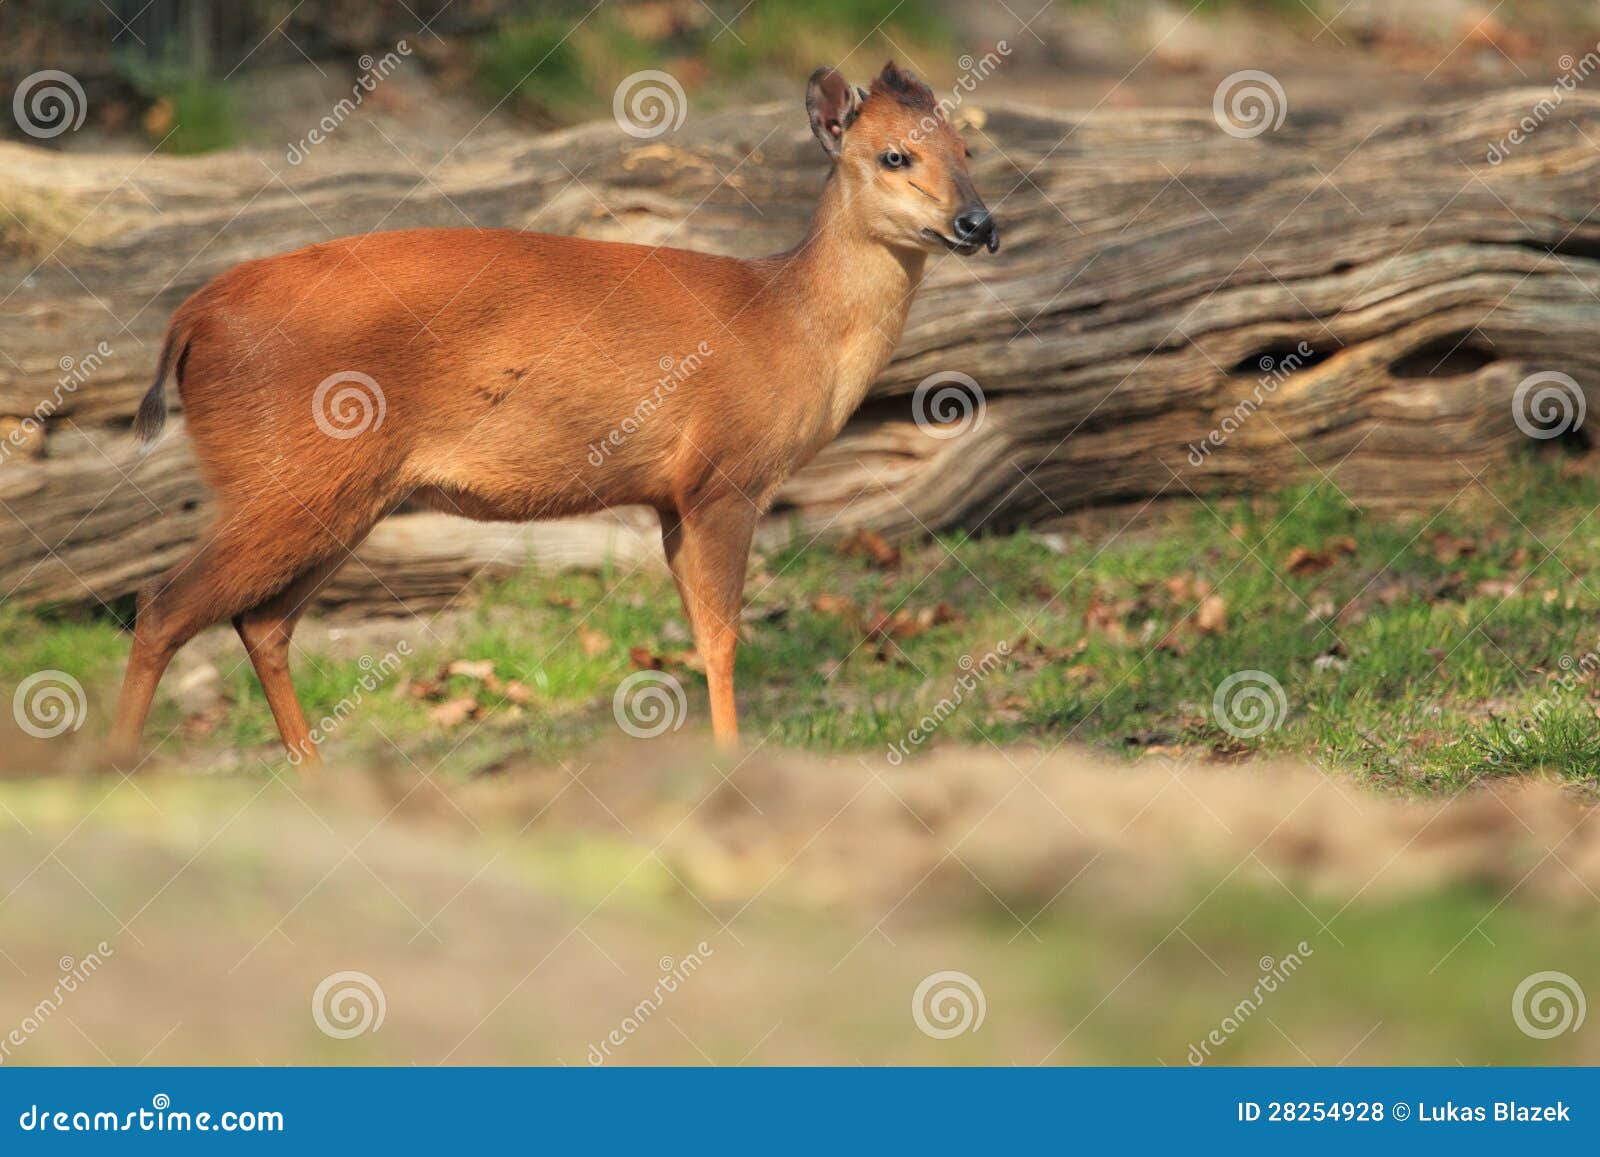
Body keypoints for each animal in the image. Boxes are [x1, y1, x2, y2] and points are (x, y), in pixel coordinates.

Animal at [116, 65, 998, 768]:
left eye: (968, 151)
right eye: (893, 155)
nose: (979, 225)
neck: (788, 321)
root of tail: (187, 321)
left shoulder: (670, 497)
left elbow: (698, 632)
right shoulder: (723, 476)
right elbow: (722, 639)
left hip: (339, 493)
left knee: (260, 621)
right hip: (288, 472)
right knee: (164, 605)